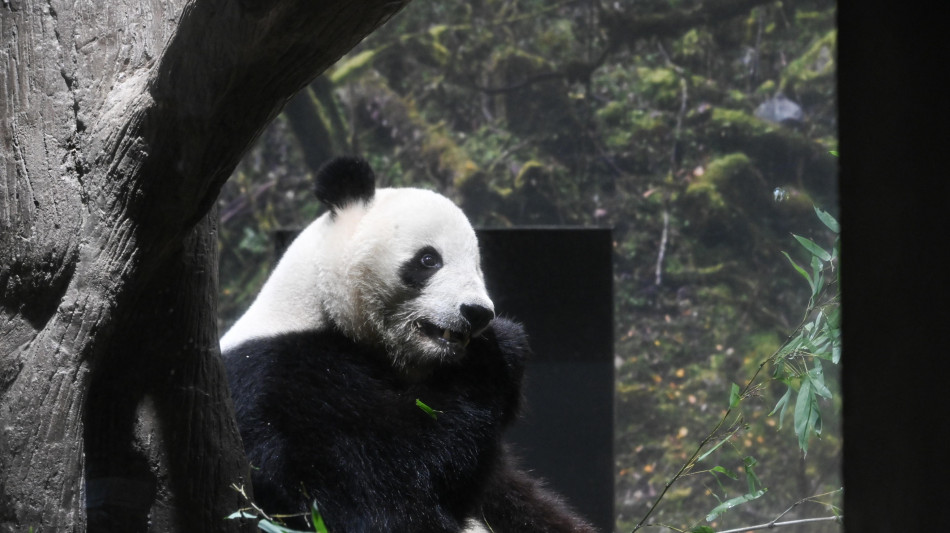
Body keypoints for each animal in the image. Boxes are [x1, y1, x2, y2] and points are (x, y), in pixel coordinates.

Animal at [221, 156, 596, 533]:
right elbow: (378, 493)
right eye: (429, 259)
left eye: (477, 267)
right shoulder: (286, 386)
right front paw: (500, 345)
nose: (477, 313)